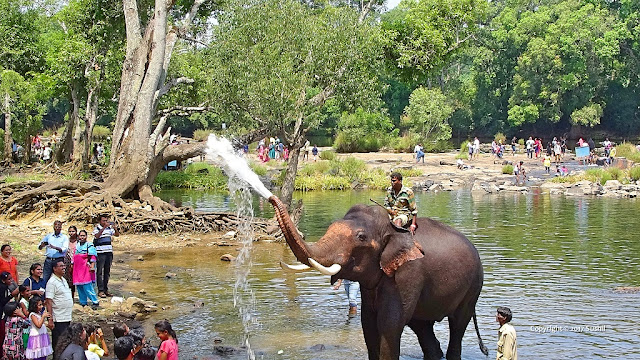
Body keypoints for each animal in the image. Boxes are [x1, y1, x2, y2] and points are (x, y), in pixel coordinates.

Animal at [268, 197, 488, 360]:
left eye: (361, 237)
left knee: (458, 324)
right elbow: (368, 324)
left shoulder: (407, 274)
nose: (271, 198)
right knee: (422, 327)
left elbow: (389, 324)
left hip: (473, 286)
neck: (391, 227)